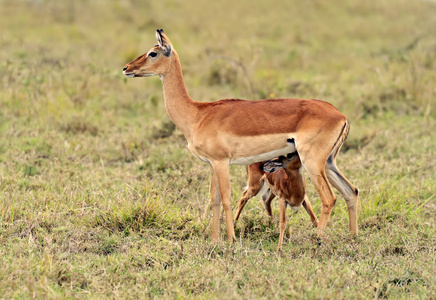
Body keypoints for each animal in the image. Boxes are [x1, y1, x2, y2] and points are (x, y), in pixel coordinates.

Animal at [122, 28, 358, 244]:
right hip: (328, 162)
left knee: (329, 198)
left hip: (313, 162)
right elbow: (215, 199)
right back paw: (353, 238)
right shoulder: (211, 164)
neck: (198, 114)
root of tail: (341, 115)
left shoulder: (221, 162)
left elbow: (227, 199)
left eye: (153, 52)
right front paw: (215, 241)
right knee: (351, 191)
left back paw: (318, 239)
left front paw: (231, 240)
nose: (126, 68)